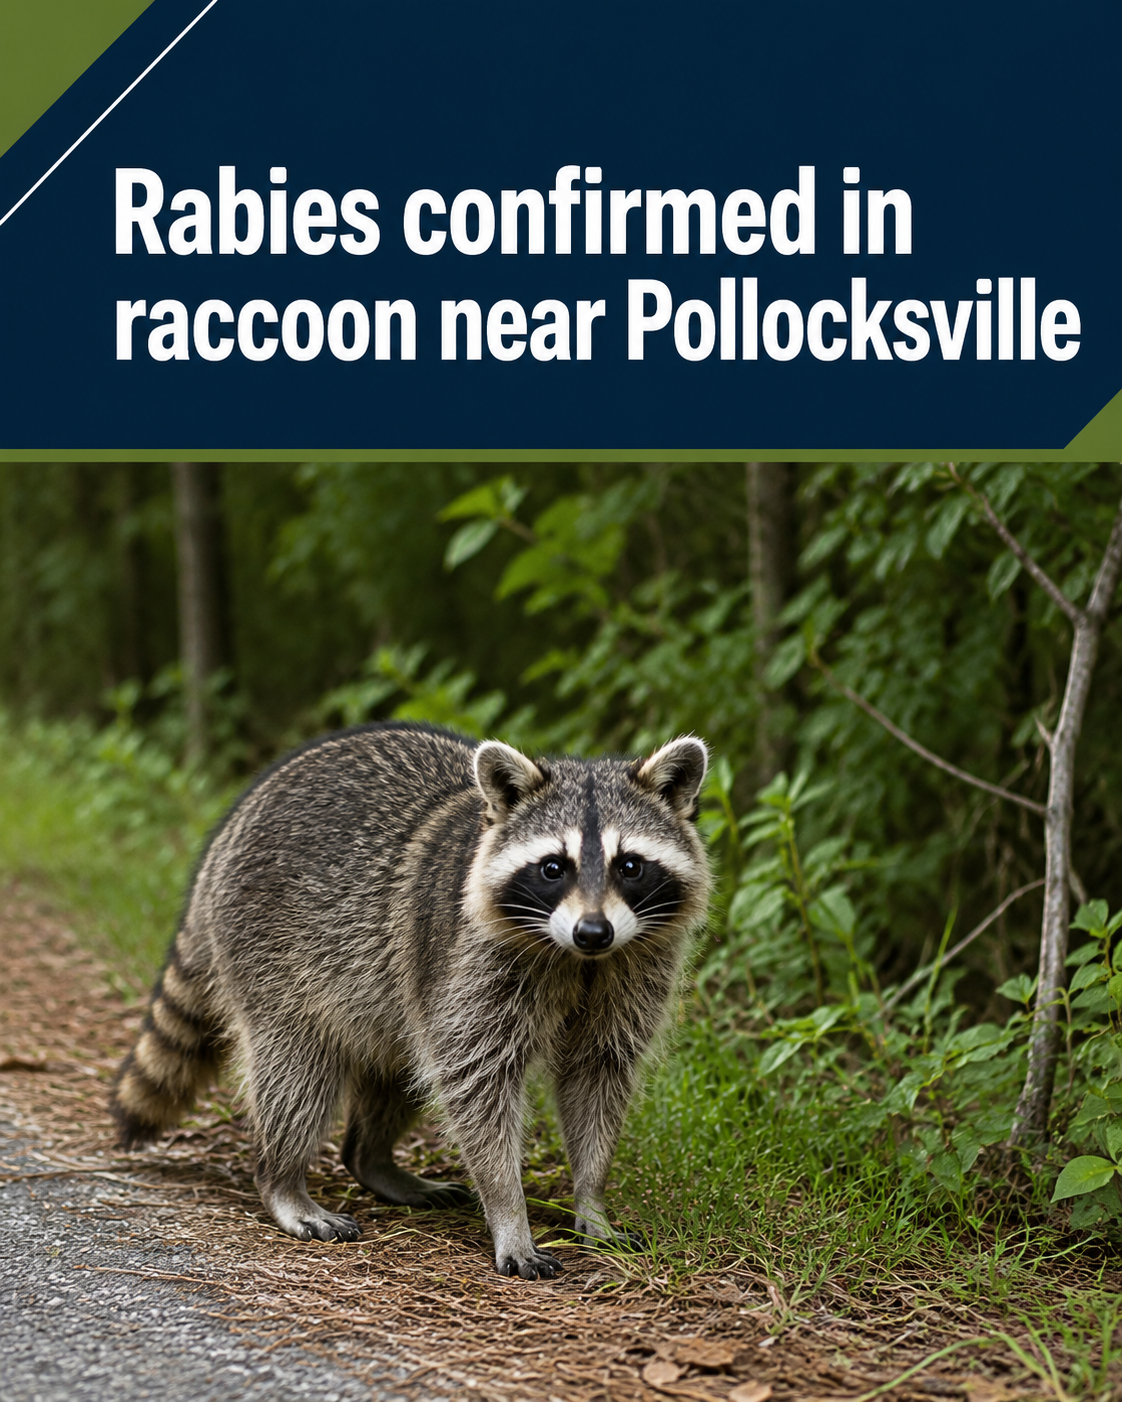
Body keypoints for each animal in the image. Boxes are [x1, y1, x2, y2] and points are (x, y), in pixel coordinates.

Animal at [110, 723, 710, 1279]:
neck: (579, 962)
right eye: (552, 867)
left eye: (629, 865)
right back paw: (282, 1179)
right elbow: (477, 1085)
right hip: (270, 952)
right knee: (297, 1071)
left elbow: (597, 1076)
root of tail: (229, 829)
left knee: (397, 1072)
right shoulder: (467, 963)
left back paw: (371, 1159)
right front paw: (509, 1211)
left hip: (390, 995)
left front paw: (591, 1197)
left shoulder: (632, 970)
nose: (593, 931)